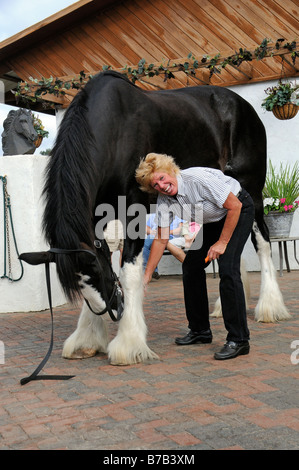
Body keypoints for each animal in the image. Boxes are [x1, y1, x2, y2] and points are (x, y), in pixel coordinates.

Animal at [20, 71, 290, 366]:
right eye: (80, 283)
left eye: (97, 274)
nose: (115, 308)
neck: (114, 129)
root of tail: (244, 106)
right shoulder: (96, 217)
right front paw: (87, 339)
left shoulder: (134, 211)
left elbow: (129, 273)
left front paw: (128, 343)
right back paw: (221, 308)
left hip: (252, 190)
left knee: (262, 243)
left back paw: (270, 307)